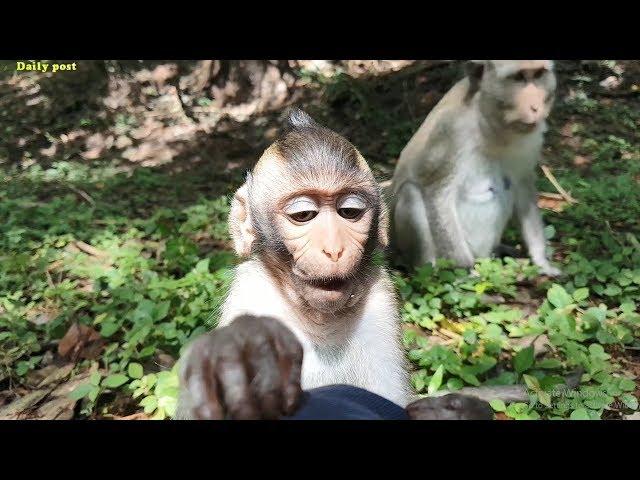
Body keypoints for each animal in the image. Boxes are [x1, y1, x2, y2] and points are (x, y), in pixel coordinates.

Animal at [175, 108, 490, 420]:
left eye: (349, 211)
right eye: (303, 215)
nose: (334, 249)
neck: (320, 322)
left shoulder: (381, 300)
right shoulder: (251, 291)